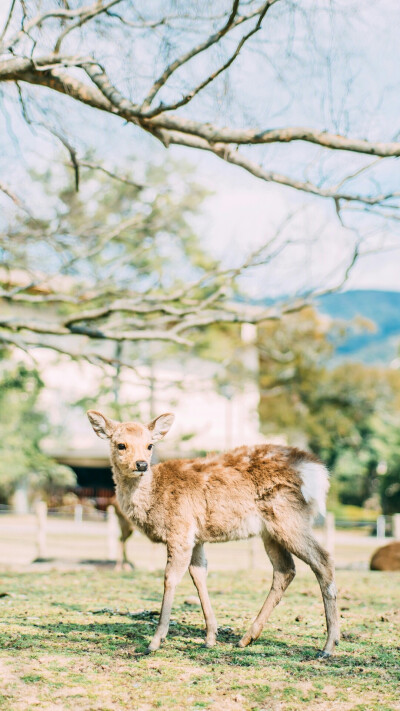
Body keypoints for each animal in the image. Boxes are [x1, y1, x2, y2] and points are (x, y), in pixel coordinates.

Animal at [88, 408, 340, 660]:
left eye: (150, 445)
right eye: (121, 445)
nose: (141, 465)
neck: (153, 498)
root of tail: (318, 473)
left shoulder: (180, 528)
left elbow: (170, 577)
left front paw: (155, 641)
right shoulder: (196, 537)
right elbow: (198, 575)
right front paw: (210, 637)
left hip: (288, 518)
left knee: (323, 560)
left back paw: (328, 646)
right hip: (271, 530)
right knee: (285, 569)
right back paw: (247, 638)